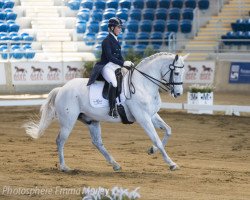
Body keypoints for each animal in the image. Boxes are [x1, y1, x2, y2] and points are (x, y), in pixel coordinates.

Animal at [24, 52, 188, 172]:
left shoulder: (152, 115)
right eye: (177, 72)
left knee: (97, 142)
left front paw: (152, 150)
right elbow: (157, 139)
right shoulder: (143, 117)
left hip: (91, 120)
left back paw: (115, 164)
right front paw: (171, 163)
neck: (143, 84)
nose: (178, 93)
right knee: (60, 140)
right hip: (68, 122)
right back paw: (64, 167)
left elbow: (168, 131)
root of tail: (62, 89)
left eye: (183, 72)